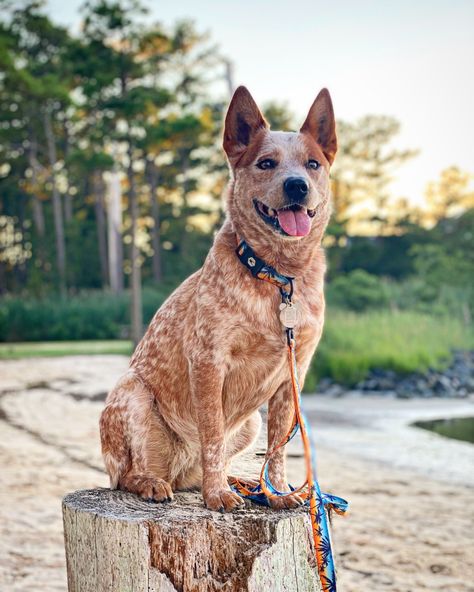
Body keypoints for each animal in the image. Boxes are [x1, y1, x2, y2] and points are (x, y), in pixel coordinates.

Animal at [100, 84, 336, 512]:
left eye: (313, 164)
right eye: (265, 163)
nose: (297, 185)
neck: (277, 276)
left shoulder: (293, 373)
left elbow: (278, 447)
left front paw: (277, 491)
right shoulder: (209, 362)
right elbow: (211, 433)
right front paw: (218, 495)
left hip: (250, 423)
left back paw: (240, 482)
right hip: (133, 394)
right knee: (127, 474)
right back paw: (153, 482)